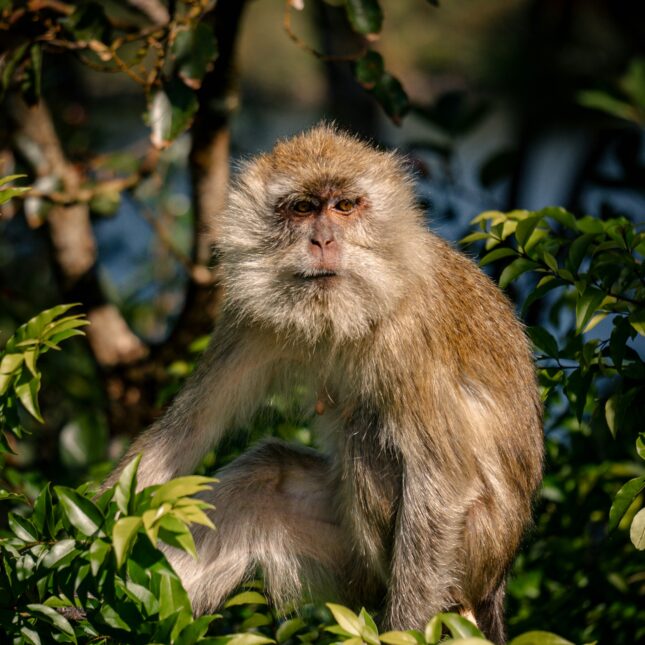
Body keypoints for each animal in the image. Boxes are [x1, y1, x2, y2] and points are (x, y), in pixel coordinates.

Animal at [106, 125, 543, 644]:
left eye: (345, 206)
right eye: (302, 208)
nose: (323, 240)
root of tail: (497, 579)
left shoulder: (409, 337)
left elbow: (443, 482)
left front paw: (403, 631)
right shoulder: (251, 319)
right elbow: (186, 432)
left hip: (475, 549)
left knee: (369, 443)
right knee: (264, 480)